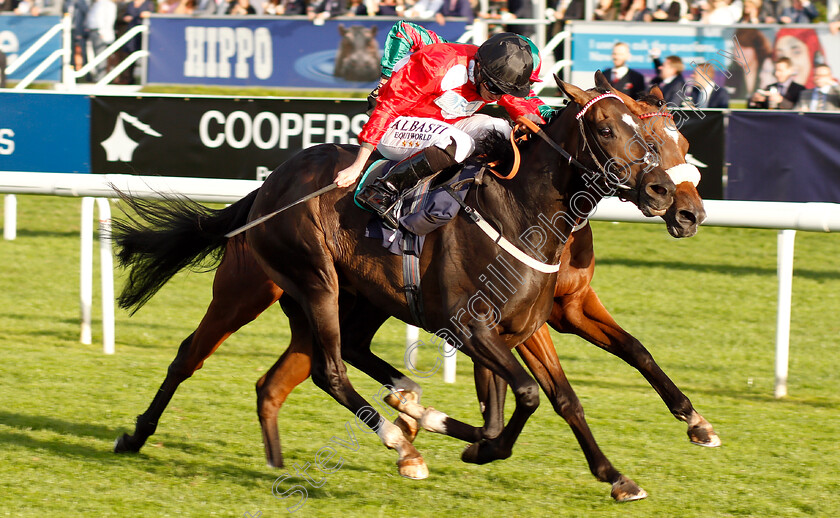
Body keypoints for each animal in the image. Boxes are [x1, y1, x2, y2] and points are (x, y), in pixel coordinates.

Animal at [111, 73, 680, 500]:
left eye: (649, 135)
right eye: (605, 129)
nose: (662, 192)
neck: (519, 213)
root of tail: (268, 184)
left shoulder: (522, 327)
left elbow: (551, 402)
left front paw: (617, 477)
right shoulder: (469, 328)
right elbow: (521, 399)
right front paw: (459, 439)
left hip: (350, 301)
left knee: (304, 370)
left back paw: (381, 421)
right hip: (295, 283)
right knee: (290, 366)